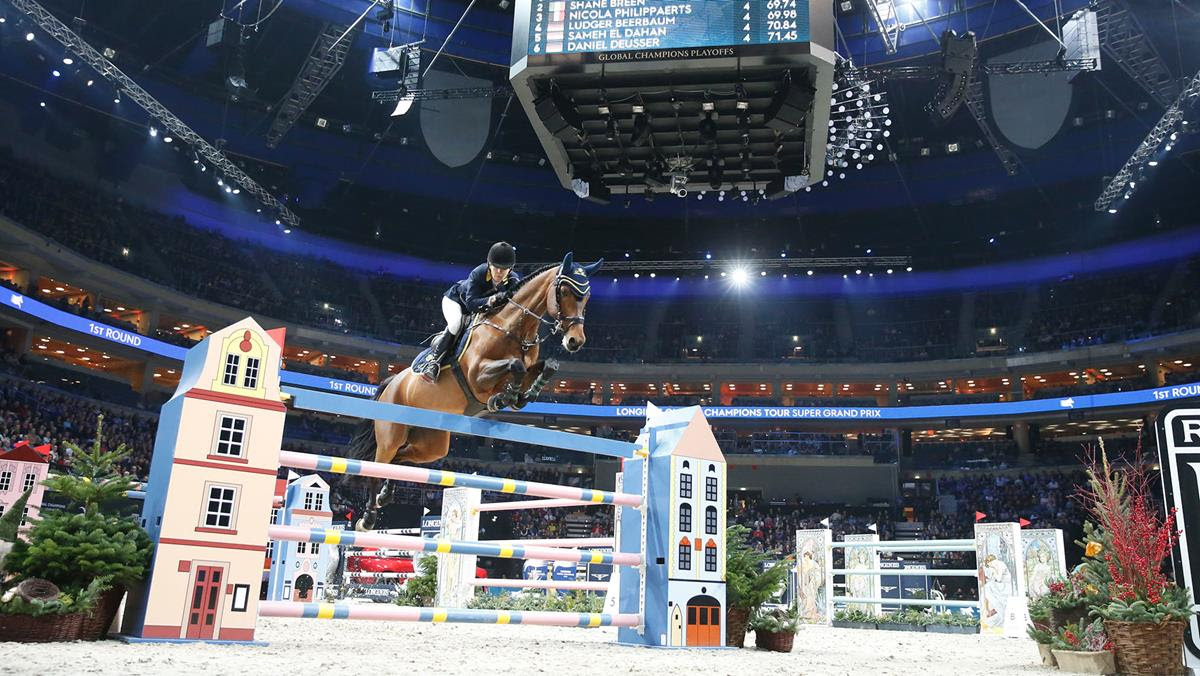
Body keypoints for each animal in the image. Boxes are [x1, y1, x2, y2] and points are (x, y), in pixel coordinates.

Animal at [346, 252, 603, 531]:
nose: (575, 341)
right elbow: (515, 365)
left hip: (430, 444)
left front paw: (521, 396)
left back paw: (385, 495)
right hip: (391, 433)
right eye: (565, 291)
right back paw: (368, 518)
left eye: (587, 296)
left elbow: (547, 367)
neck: (513, 328)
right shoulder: (476, 375)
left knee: (399, 460)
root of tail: (392, 381)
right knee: (377, 464)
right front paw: (503, 398)